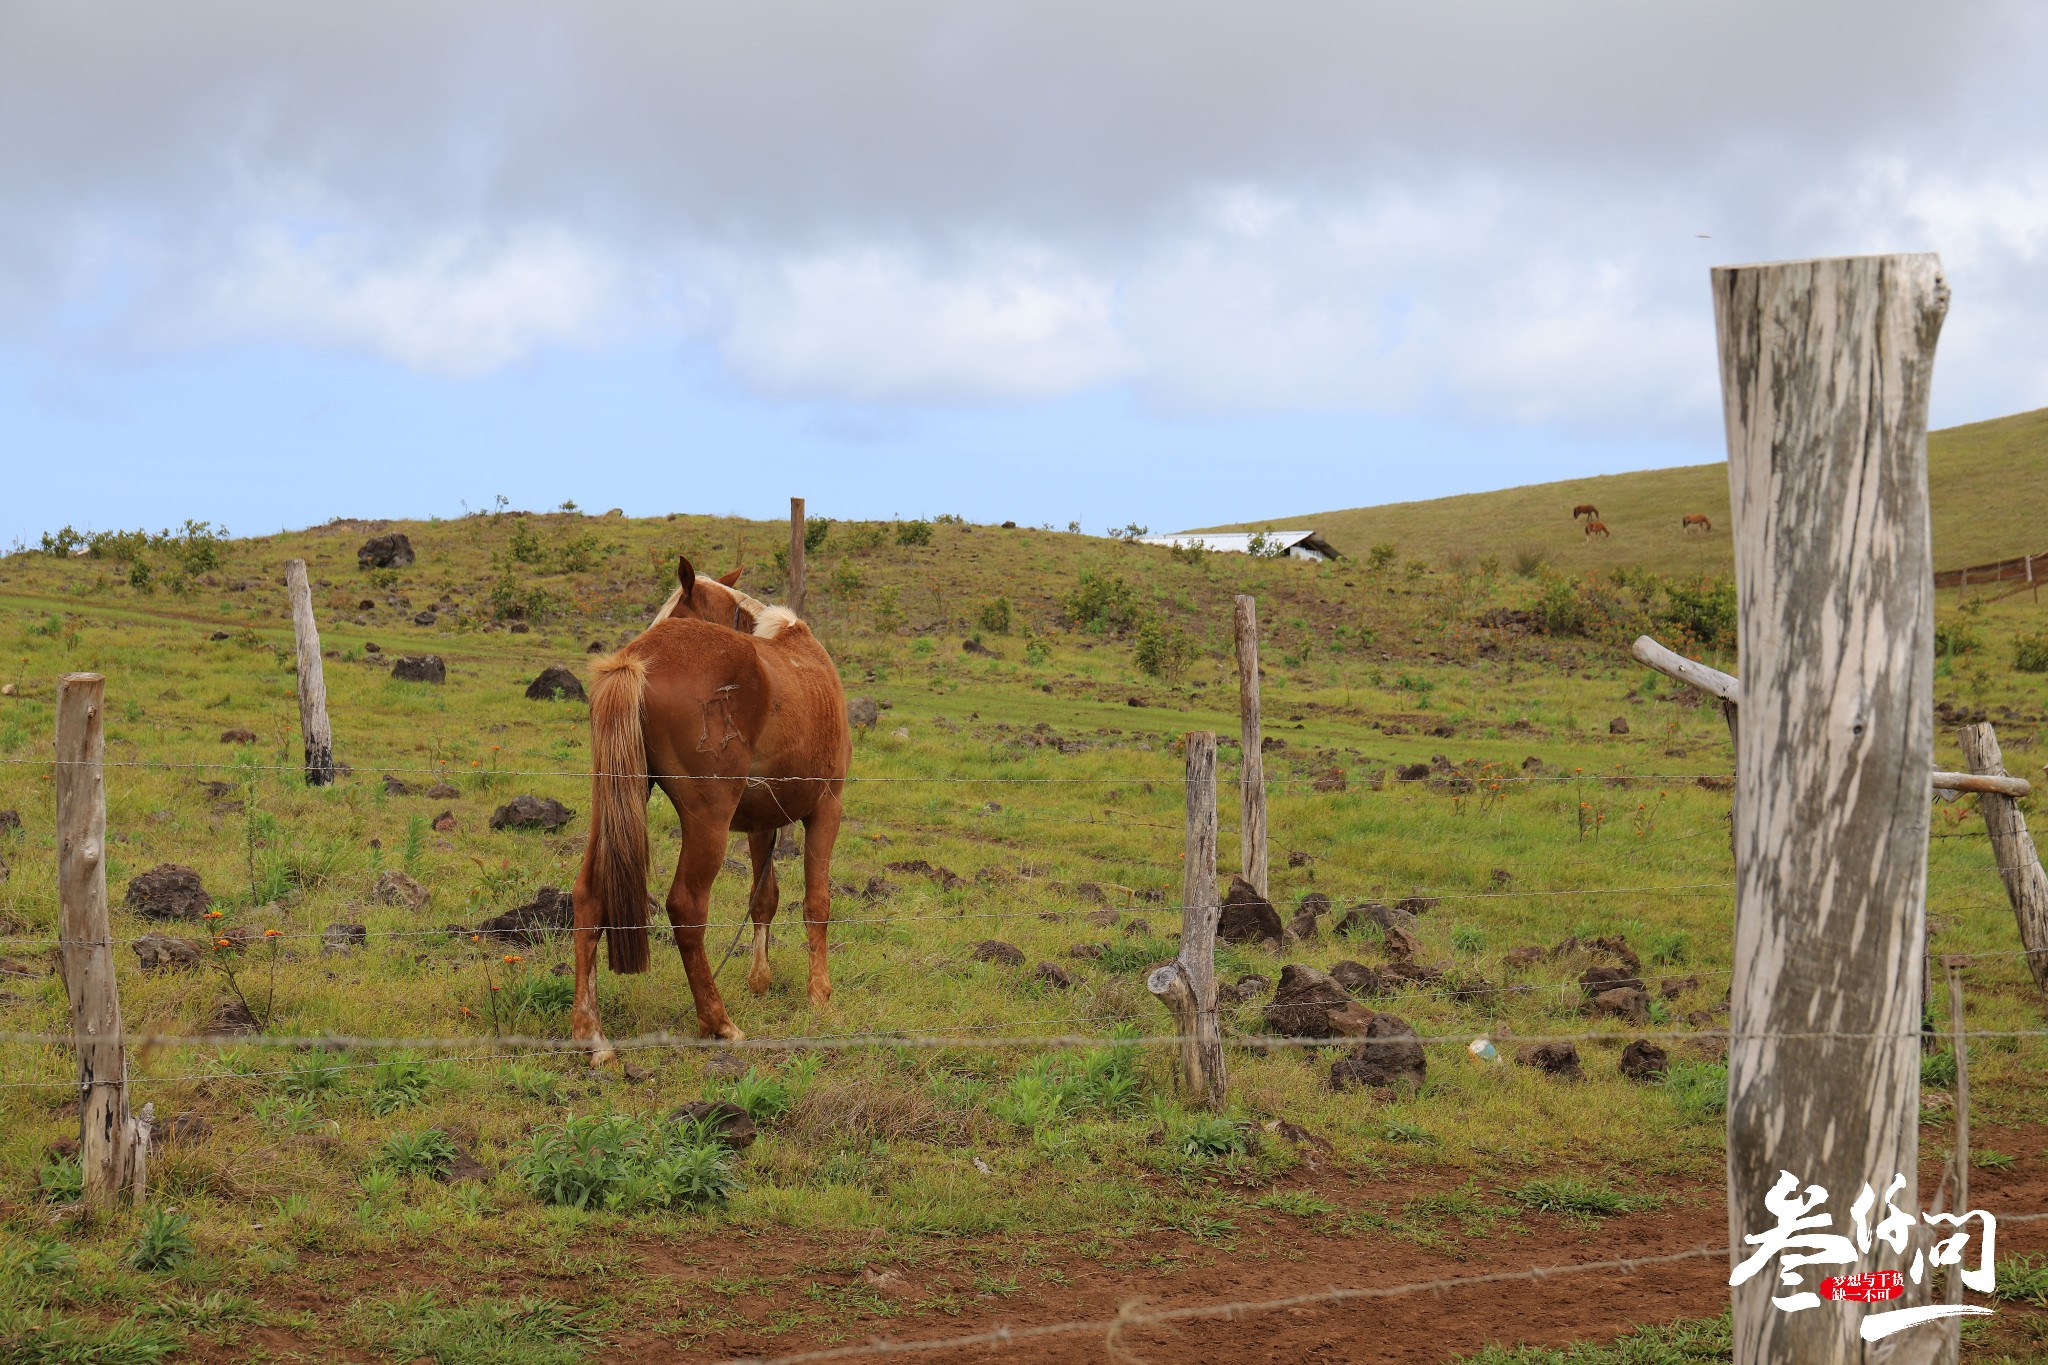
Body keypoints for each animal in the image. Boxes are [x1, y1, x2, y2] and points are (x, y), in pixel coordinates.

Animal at [569, 560, 847, 1064]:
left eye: (675, 610)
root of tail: (637, 659)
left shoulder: (761, 826)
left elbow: (763, 899)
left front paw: (760, 980)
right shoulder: (826, 810)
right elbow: (817, 903)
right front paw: (820, 995)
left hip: (614, 803)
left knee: (588, 896)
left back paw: (592, 1035)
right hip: (708, 823)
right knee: (686, 907)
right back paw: (718, 1022)